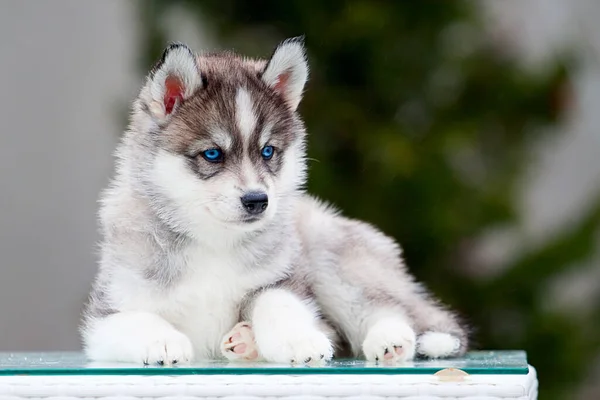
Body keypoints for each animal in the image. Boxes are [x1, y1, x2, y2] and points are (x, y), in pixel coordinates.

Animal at [82, 37, 468, 366]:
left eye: (268, 151)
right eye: (212, 154)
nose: (257, 200)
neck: (213, 241)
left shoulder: (283, 279)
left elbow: (276, 303)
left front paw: (299, 340)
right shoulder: (106, 314)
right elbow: (136, 318)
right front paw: (162, 341)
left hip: (329, 255)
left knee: (385, 308)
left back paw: (391, 339)